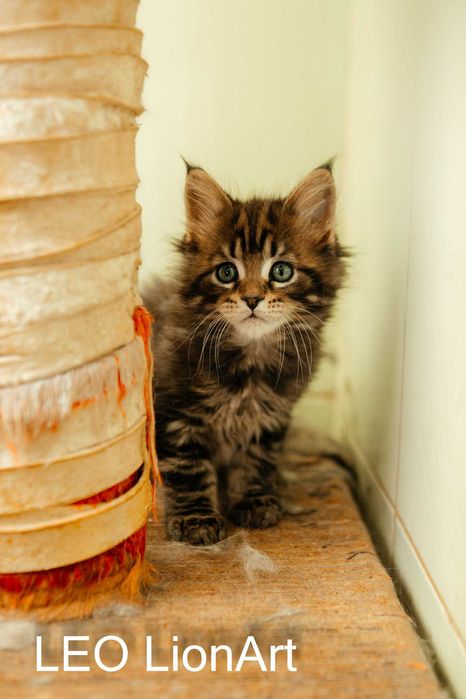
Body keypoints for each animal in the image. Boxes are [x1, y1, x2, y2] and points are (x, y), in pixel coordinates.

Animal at [143, 161, 346, 545]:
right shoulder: (175, 412)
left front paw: (253, 500)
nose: (252, 299)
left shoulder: (272, 415)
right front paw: (196, 519)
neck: (250, 361)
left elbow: (257, 460)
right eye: (226, 272)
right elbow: (188, 469)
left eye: (281, 271)